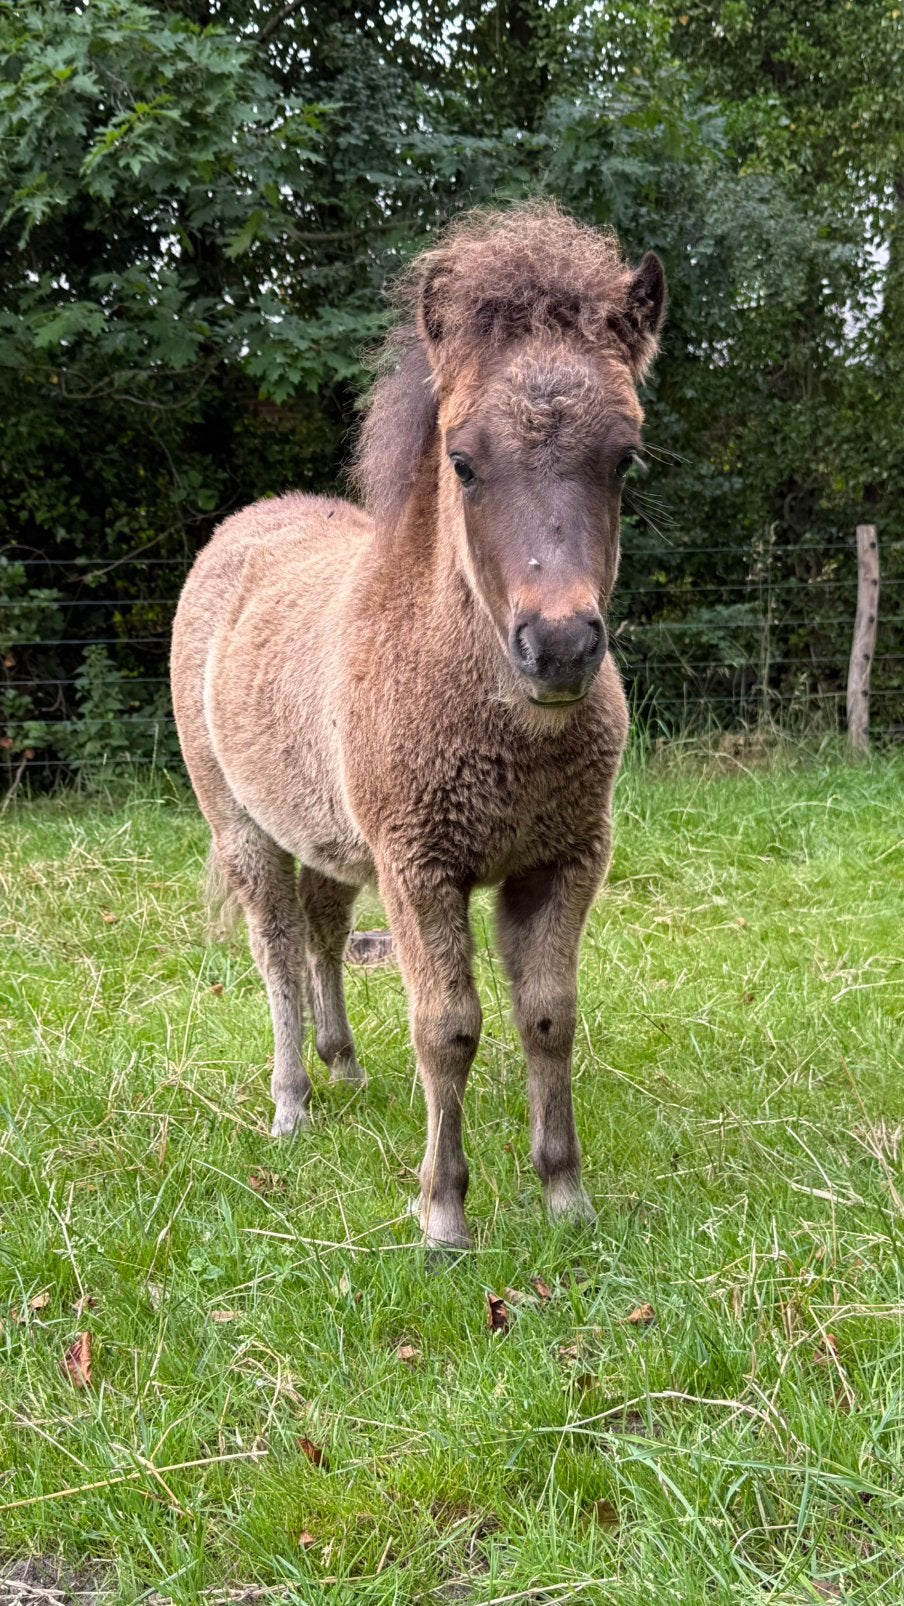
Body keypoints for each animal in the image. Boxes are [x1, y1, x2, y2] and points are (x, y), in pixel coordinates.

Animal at [171, 203, 666, 1248]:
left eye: (625, 459)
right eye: (463, 462)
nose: (559, 647)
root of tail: (244, 527)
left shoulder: (562, 860)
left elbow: (548, 1016)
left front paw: (564, 1194)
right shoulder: (418, 864)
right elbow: (449, 1026)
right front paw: (443, 1214)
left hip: (326, 833)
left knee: (322, 932)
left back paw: (346, 1064)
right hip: (243, 828)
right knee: (276, 951)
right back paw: (291, 1102)